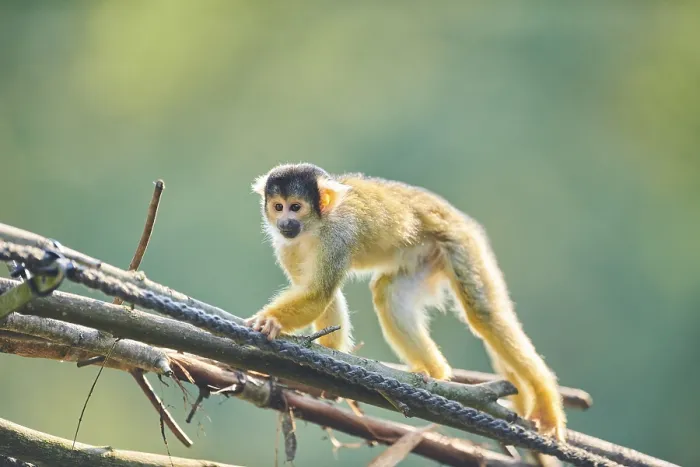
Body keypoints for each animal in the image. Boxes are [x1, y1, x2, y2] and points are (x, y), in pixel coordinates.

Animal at [246, 162, 566, 440]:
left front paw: (271, 321)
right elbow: (319, 292)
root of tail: (454, 214)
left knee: (484, 314)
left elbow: (318, 293)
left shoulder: (338, 235)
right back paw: (433, 373)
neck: (315, 226)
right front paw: (328, 352)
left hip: (460, 242)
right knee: (388, 293)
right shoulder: (286, 245)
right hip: (423, 254)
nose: (285, 222)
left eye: (296, 207)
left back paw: (546, 403)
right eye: (278, 206)